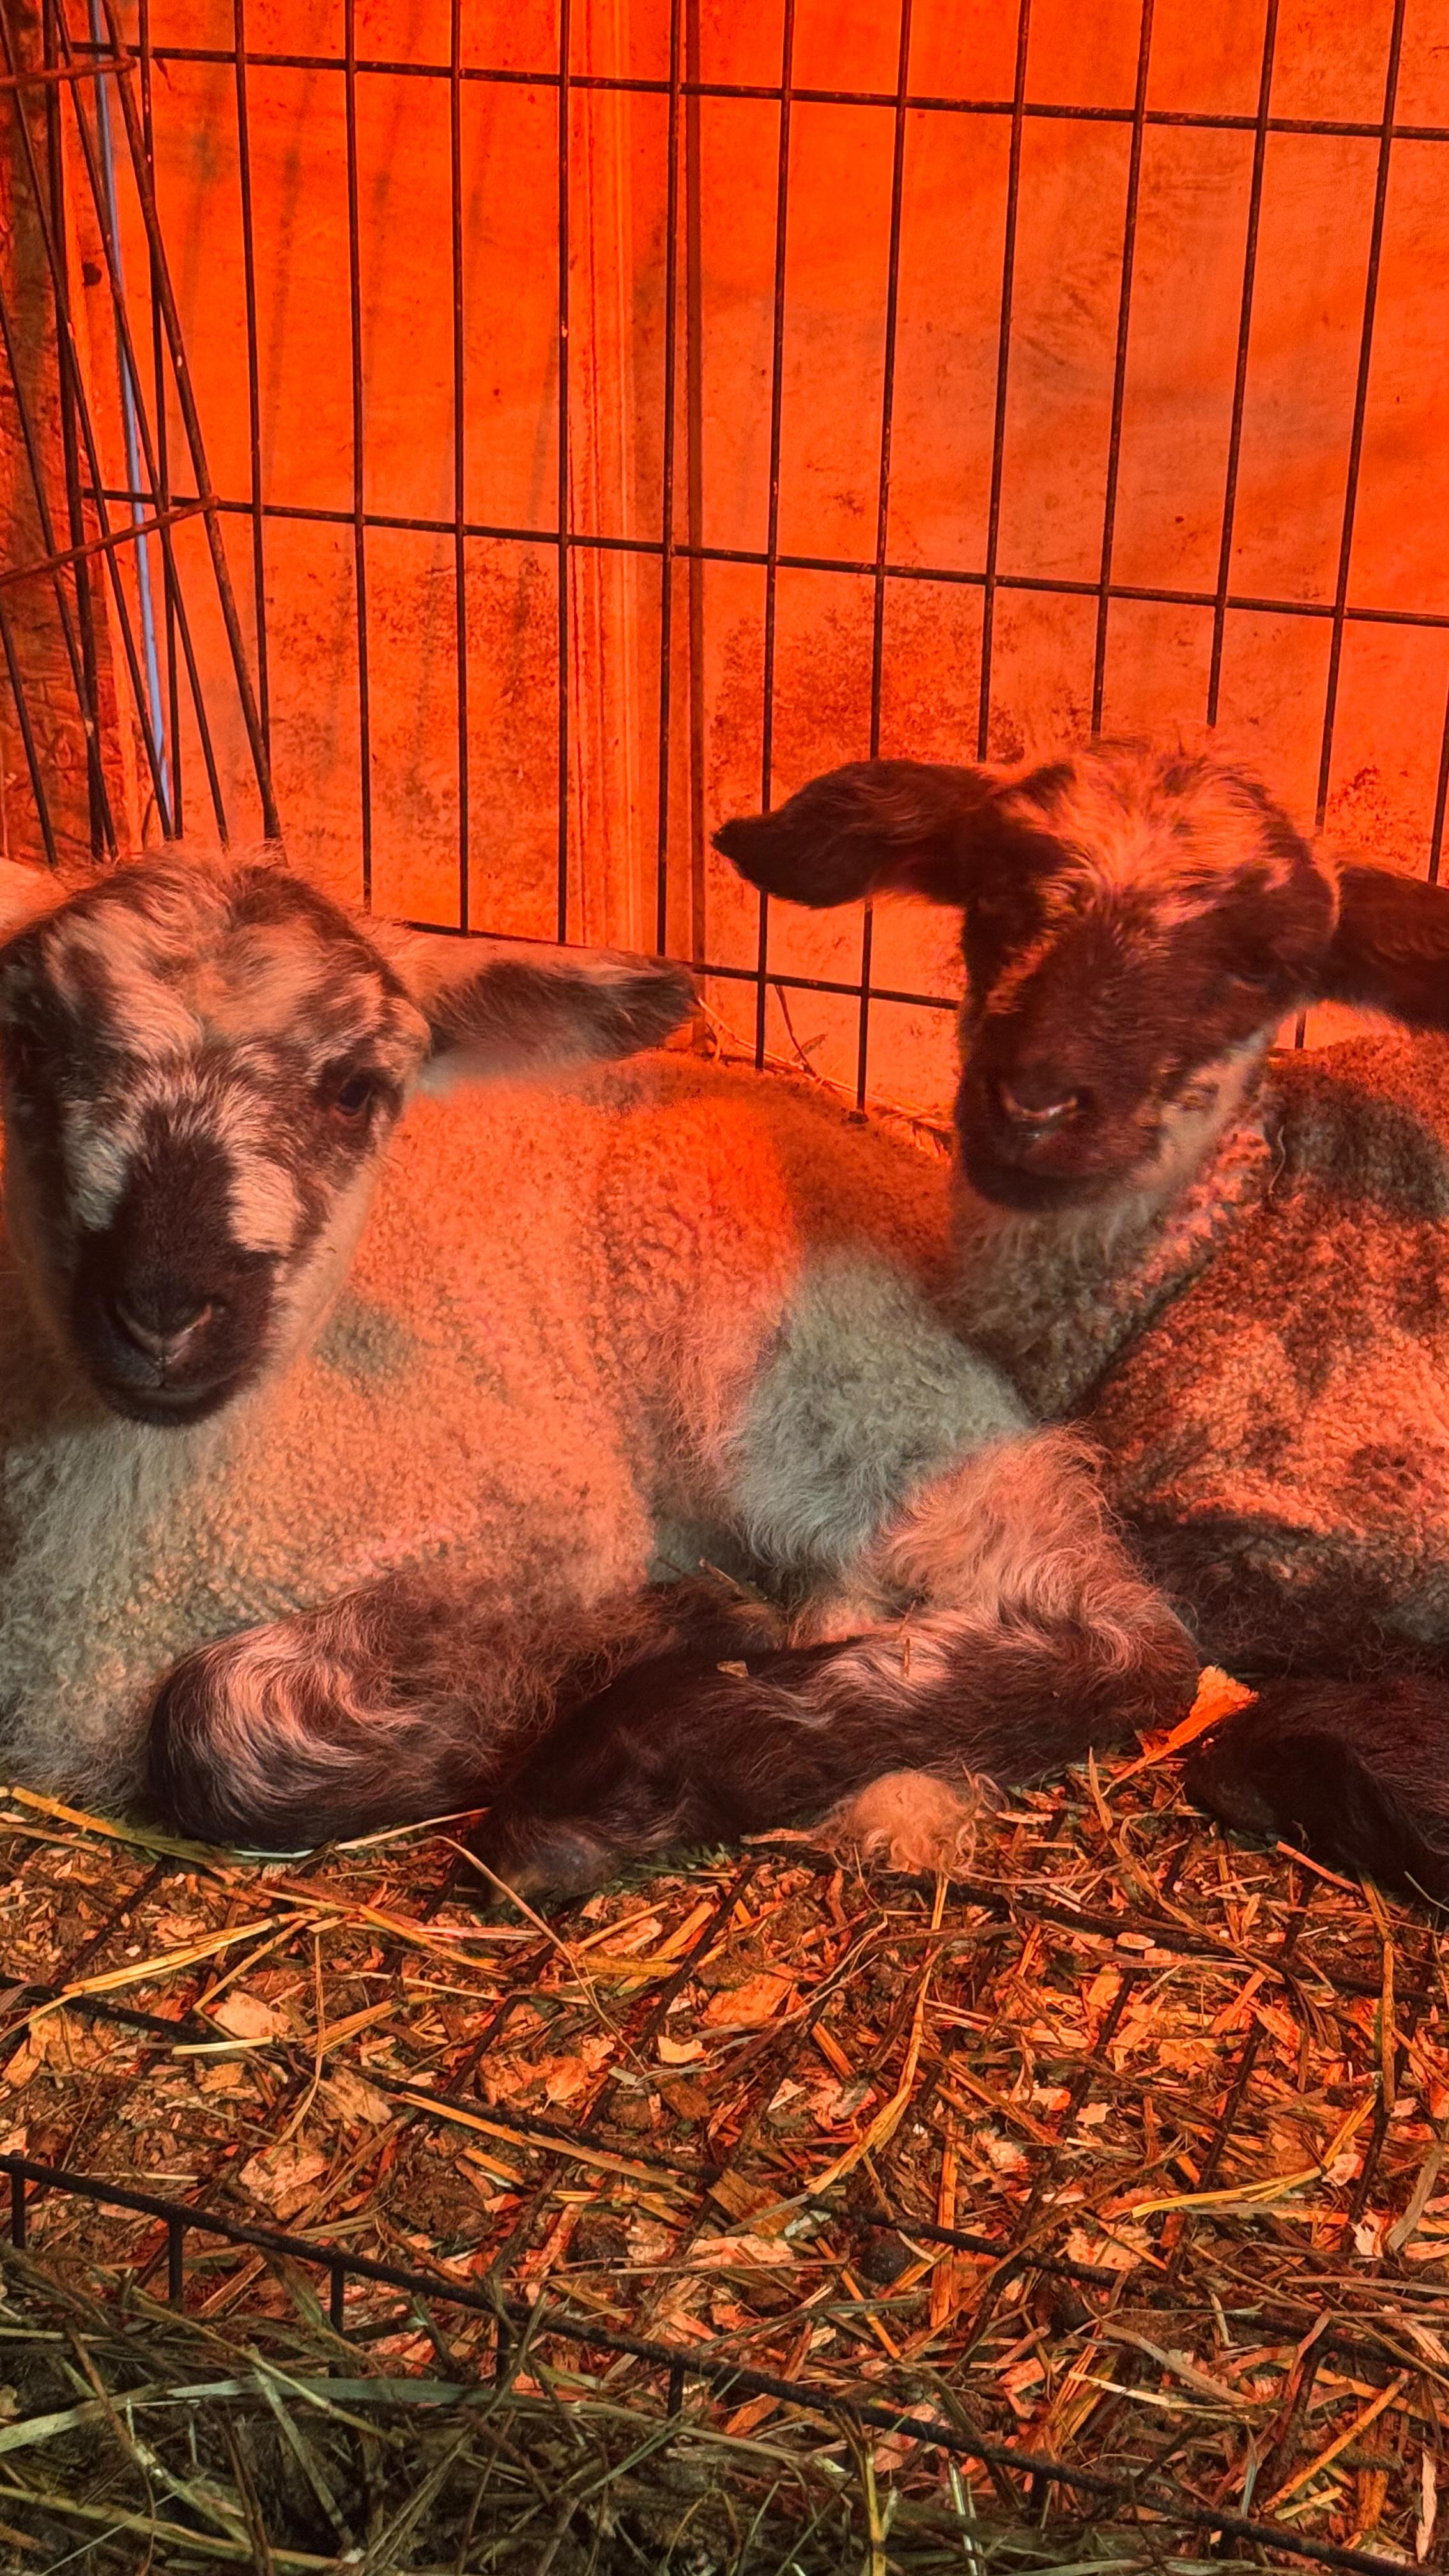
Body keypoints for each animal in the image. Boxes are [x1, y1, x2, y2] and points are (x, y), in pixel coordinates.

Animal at [0, 847, 1193, 1897]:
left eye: (352, 1089)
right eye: (34, 1051)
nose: (163, 1309)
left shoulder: (556, 1522)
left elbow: (211, 1725)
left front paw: (680, 1628)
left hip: (822, 1380)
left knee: (1128, 1640)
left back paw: (615, 1783)